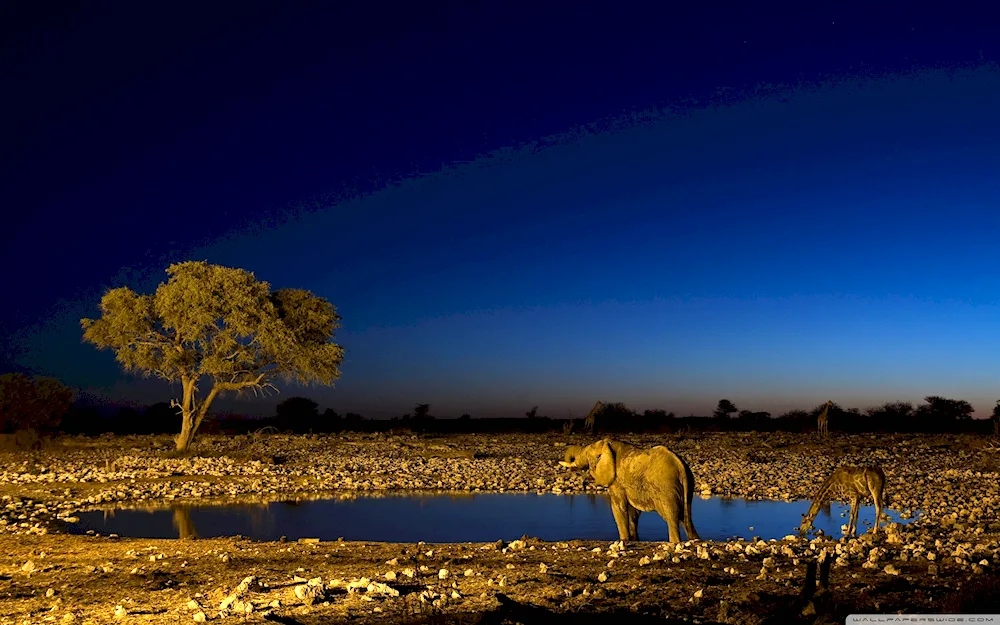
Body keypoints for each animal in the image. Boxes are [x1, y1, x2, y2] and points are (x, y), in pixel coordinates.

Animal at [560, 436, 700, 544]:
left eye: (587, 454)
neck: (609, 444)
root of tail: (680, 466)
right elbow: (633, 512)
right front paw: (633, 540)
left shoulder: (617, 480)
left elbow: (618, 507)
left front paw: (624, 540)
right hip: (688, 485)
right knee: (686, 518)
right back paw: (694, 540)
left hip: (666, 487)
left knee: (672, 517)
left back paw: (675, 542)